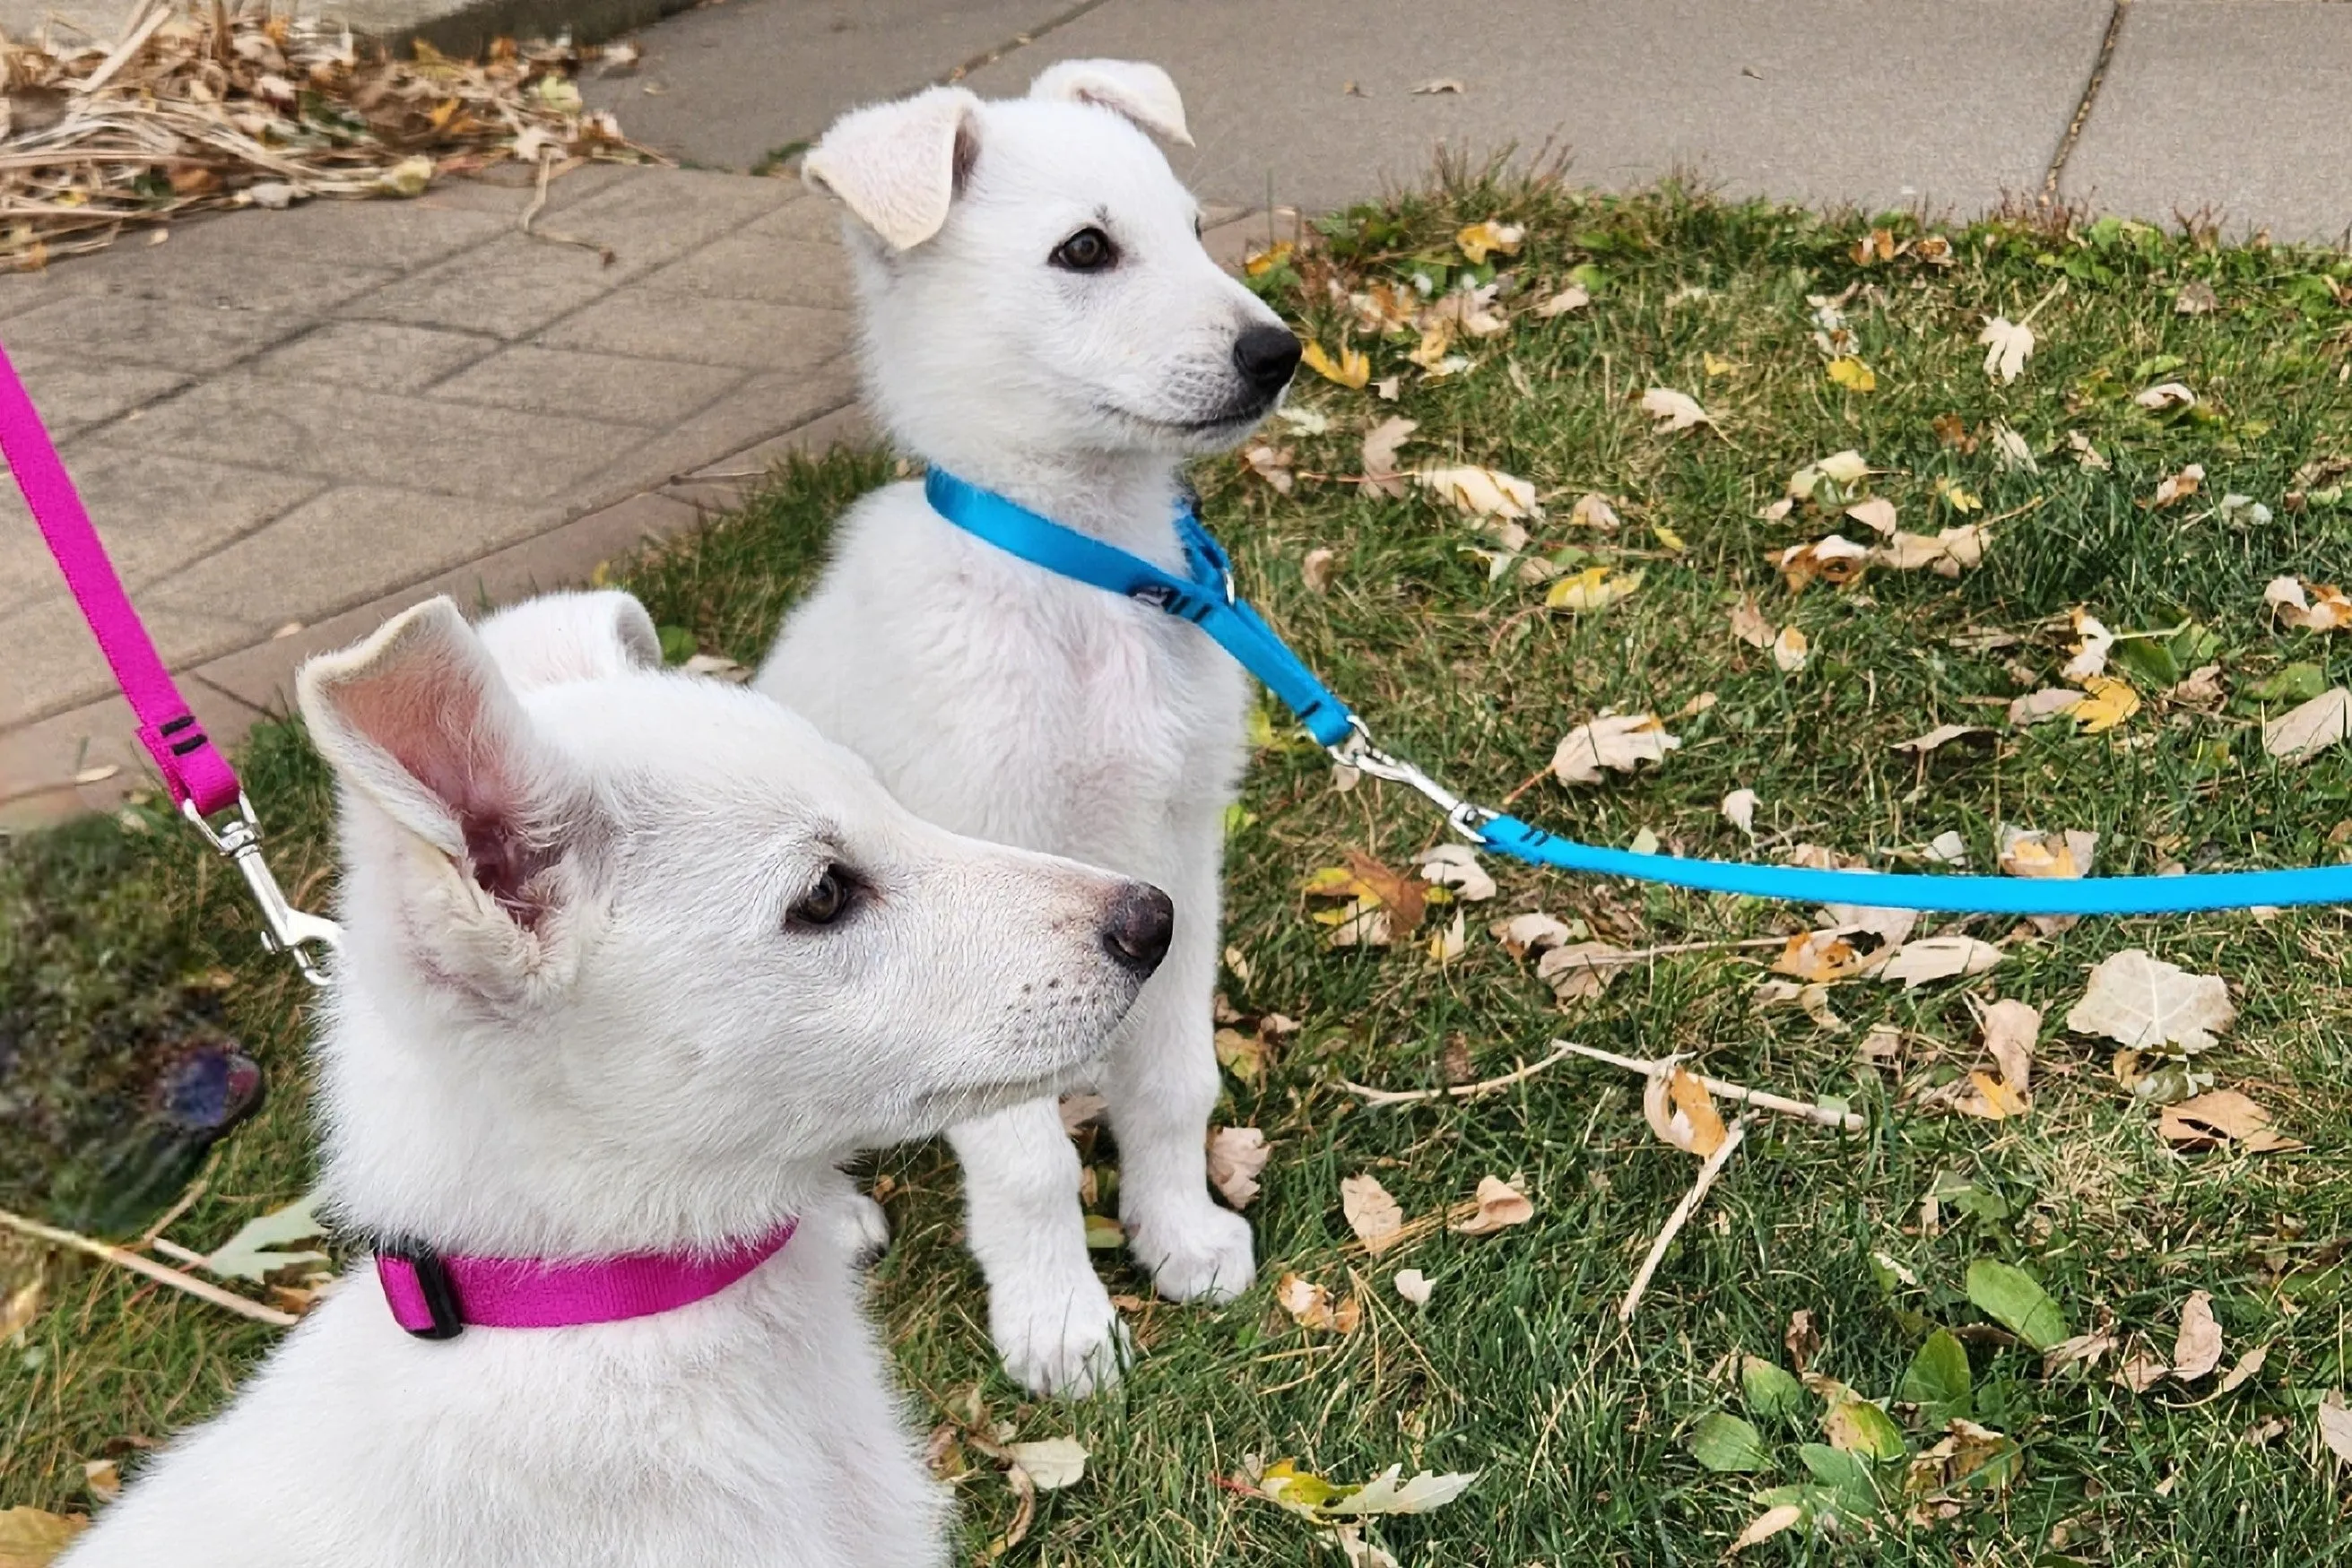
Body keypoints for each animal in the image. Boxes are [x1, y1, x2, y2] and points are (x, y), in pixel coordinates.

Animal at [757, 61, 1298, 1400]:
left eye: (1194, 228)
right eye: (1086, 250)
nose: (1276, 354)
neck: (1082, 572)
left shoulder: (1179, 853)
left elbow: (1173, 1076)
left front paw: (1177, 1231)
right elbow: (1026, 1162)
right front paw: (1057, 1321)